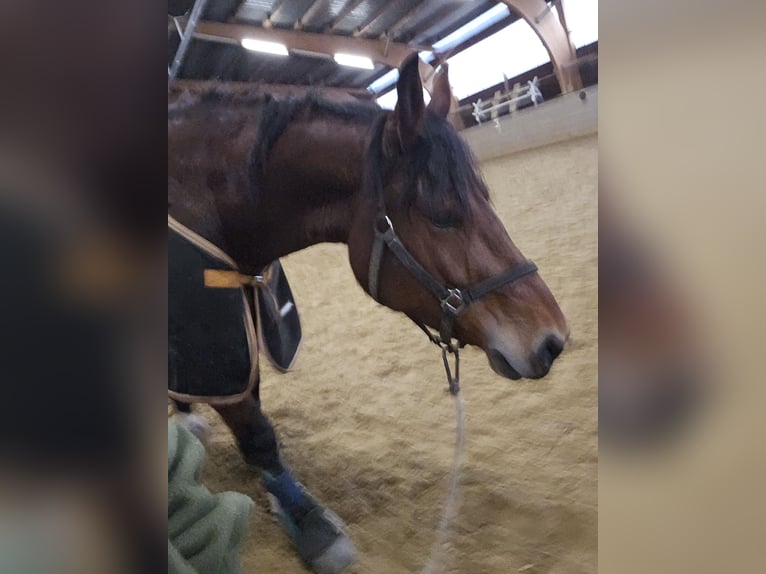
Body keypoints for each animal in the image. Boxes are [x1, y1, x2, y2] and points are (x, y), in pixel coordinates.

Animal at [171, 55, 572, 574]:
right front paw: (311, 522)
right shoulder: (214, 340)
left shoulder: (235, 326)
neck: (197, 197)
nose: (552, 339)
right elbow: (258, 433)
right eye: (443, 214)